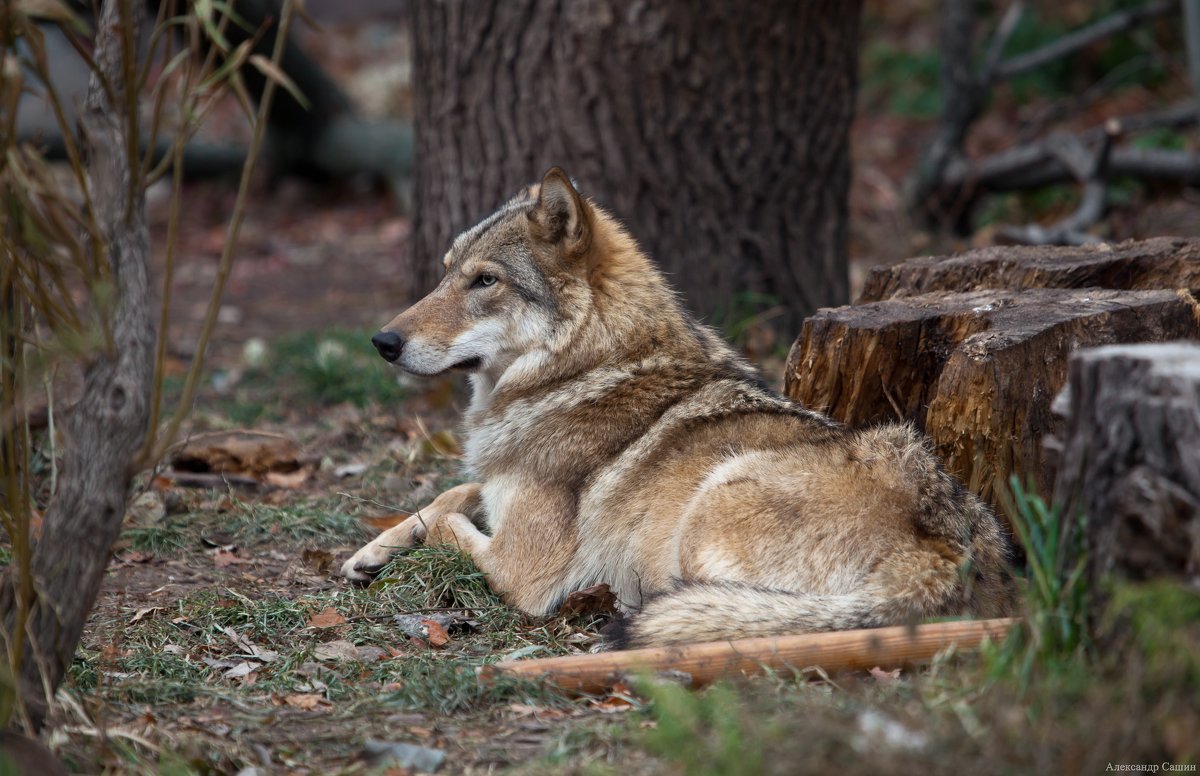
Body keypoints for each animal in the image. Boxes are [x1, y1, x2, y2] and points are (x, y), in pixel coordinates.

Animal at [338, 170, 1012, 647]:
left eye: (485, 281)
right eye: (446, 273)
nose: (382, 341)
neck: (583, 368)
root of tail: (948, 552)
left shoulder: (522, 572)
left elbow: (450, 523)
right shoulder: (499, 486)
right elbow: (447, 497)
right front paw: (369, 553)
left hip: (716, 495)